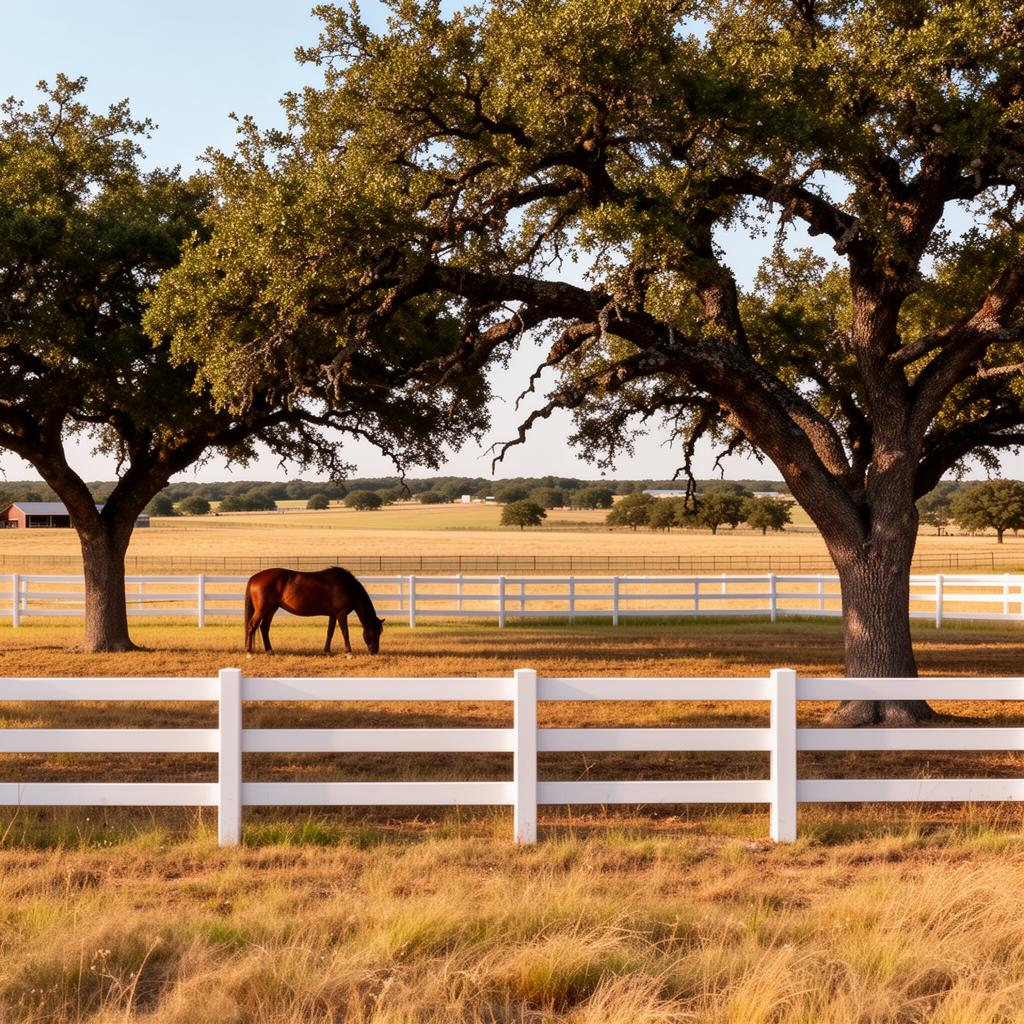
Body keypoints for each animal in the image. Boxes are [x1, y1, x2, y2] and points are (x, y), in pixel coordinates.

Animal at [244, 567, 384, 655]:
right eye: (376, 631)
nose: (374, 651)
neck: (347, 586)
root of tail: (255, 577)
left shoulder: (333, 615)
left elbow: (330, 632)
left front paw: (327, 651)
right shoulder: (341, 613)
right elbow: (345, 632)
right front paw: (349, 652)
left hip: (271, 609)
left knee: (264, 628)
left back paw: (269, 651)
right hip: (262, 610)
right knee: (252, 626)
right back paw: (249, 652)